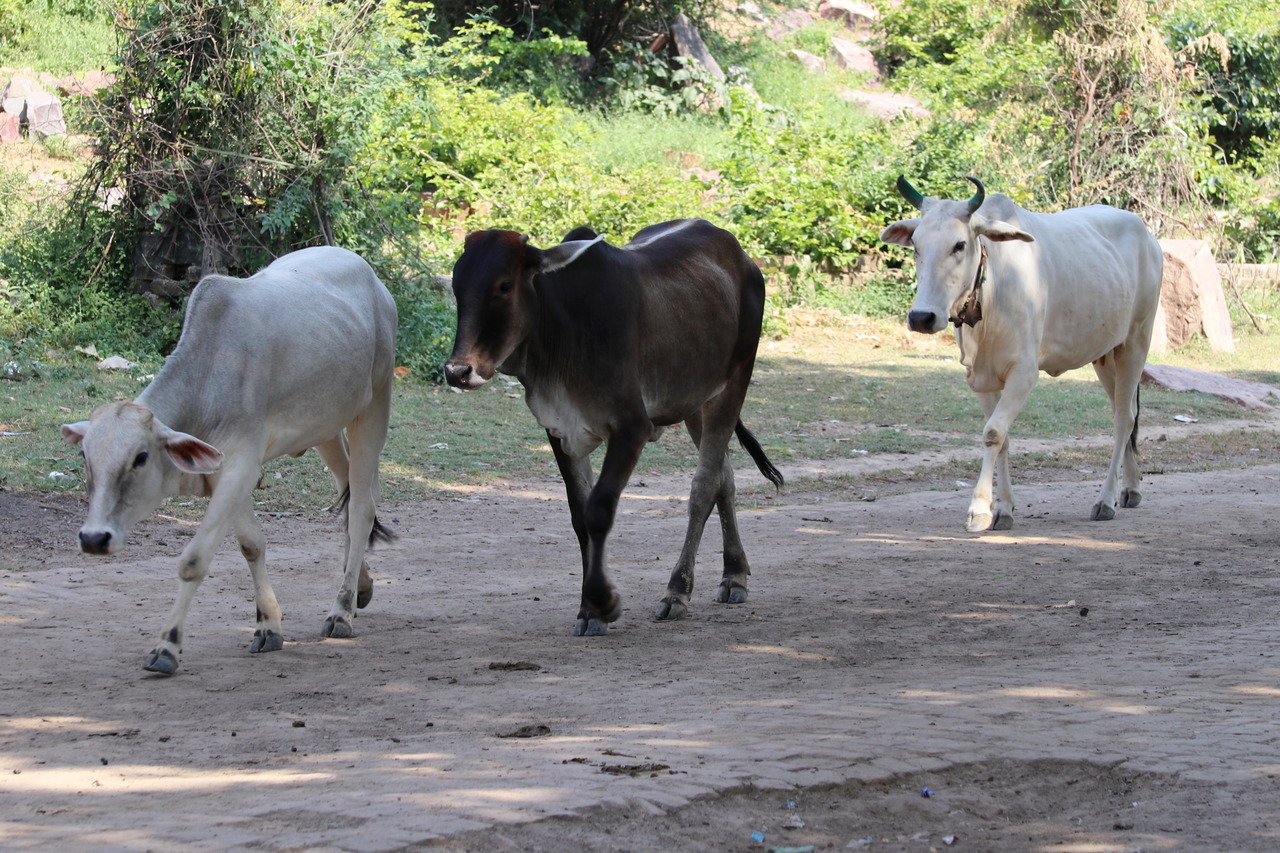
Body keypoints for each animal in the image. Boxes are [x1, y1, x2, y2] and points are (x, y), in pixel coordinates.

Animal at [61, 246, 398, 674]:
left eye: (140, 457)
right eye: (85, 457)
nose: (93, 538)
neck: (208, 380)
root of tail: (370, 277)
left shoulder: (240, 466)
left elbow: (194, 560)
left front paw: (166, 647)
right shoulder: (226, 472)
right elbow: (252, 545)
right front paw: (268, 625)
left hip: (375, 404)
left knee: (362, 510)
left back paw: (341, 611)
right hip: (327, 428)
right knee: (350, 497)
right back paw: (360, 589)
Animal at [444, 219, 783, 636]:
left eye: (505, 285)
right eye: (457, 283)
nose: (459, 371)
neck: (563, 327)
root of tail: (740, 255)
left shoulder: (632, 428)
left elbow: (599, 510)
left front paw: (603, 603)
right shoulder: (560, 431)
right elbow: (579, 515)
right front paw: (588, 609)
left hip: (732, 385)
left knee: (704, 486)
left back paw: (678, 591)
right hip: (693, 403)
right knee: (724, 477)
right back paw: (734, 573)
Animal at [880, 176, 1163, 532]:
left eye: (959, 245)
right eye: (916, 246)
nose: (921, 317)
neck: (990, 292)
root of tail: (1147, 235)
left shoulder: (1023, 373)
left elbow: (993, 433)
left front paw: (979, 509)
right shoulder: (983, 379)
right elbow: (1002, 438)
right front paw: (1003, 509)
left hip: (1136, 342)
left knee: (1123, 419)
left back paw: (1106, 499)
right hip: (1105, 355)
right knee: (1126, 414)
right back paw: (1132, 488)